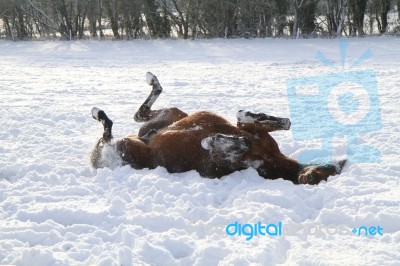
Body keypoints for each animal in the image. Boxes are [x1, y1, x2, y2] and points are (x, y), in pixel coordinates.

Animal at [90, 72, 344, 185]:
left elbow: (239, 143)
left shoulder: (220, 164)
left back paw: (100, 115)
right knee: (139, 114)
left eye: (317, 177)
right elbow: (277, 122)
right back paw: (150, 82)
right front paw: (249, 115)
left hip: (125, 149)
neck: (272, 160)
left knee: (109, 134)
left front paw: (211, 140)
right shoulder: (253, 131)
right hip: (172, 115)